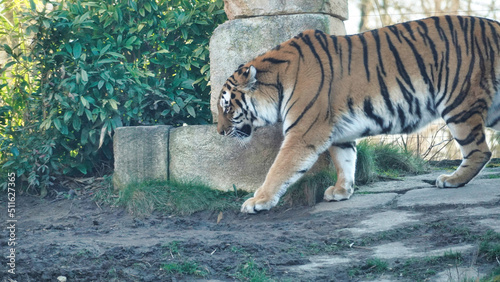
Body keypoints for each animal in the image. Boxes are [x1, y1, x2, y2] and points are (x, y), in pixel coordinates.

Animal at [216, 14, 500, 214]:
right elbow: (345, 161)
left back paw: (452, 180)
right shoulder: (338, 132)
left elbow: (279, 169)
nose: (219, 132)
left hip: (459, 104)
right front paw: (342, 191)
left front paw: (257, 201)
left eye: (227, 107)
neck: (276, 82)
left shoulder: (303, 133)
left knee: (479, 151)